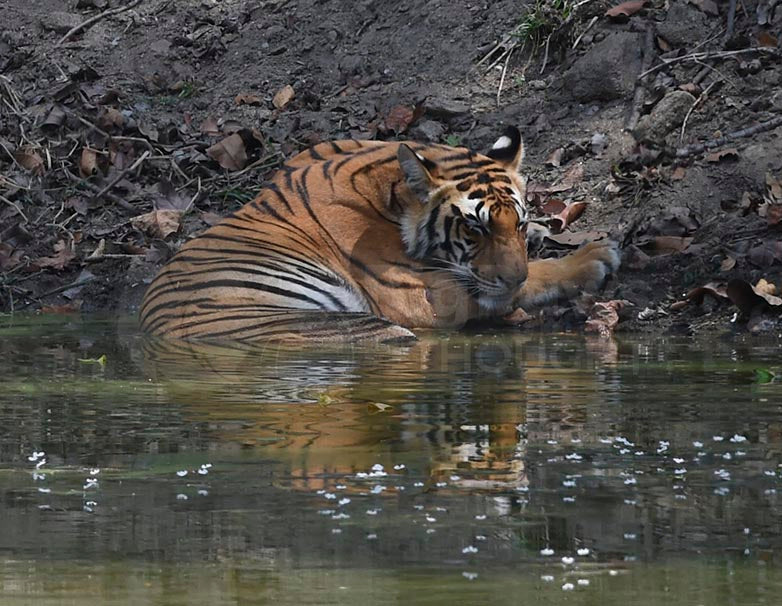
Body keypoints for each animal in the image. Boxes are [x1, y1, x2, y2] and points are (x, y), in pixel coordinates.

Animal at [139, 127, 620, 342]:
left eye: (516, 223)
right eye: (473, 227)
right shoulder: (427, 296)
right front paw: (594, 256)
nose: (511, 277)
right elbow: (526, 279)